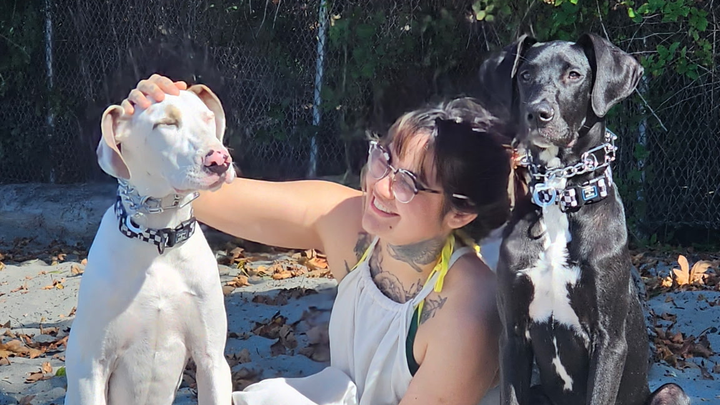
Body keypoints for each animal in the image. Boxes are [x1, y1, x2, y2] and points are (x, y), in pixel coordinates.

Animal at [64, 85, 235, 405]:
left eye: (208, 117)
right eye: (165, 123)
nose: (219, 159)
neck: (159, 239)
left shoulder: (212, 360)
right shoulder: (91, 368)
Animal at [479, 34, 690, 405]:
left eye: (574, 74)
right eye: (525, 75)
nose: (538, 113)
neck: (560, 197)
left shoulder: (609, 341)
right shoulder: (512, 336)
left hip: (671, 392)